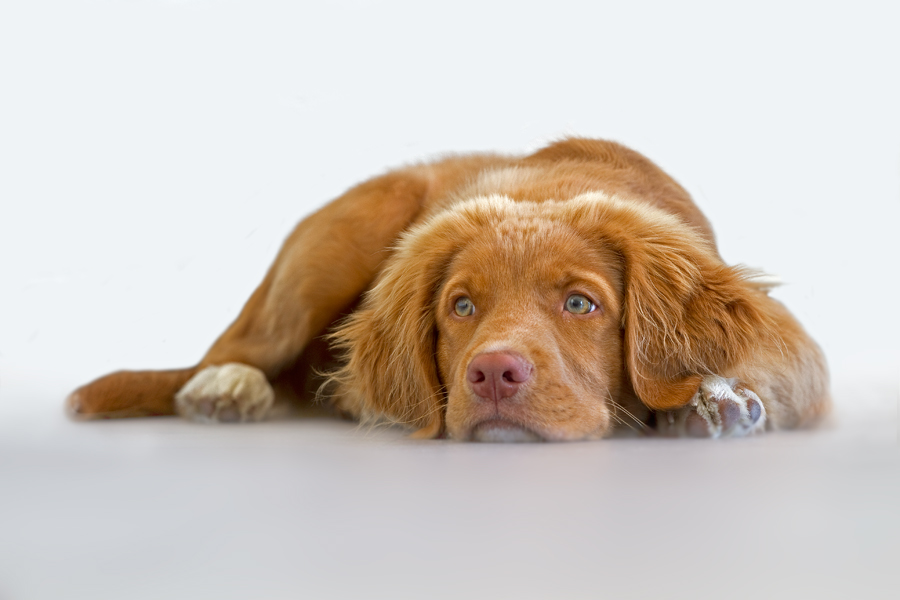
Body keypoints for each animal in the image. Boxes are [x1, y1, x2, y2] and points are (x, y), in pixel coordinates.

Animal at [67, 137, 832, 440]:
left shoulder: (795, 345)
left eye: (580, 304)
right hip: (334, 248)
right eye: (461, 306)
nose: (492, 374)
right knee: (236, 348)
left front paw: (712, 396)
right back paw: (225, 386)